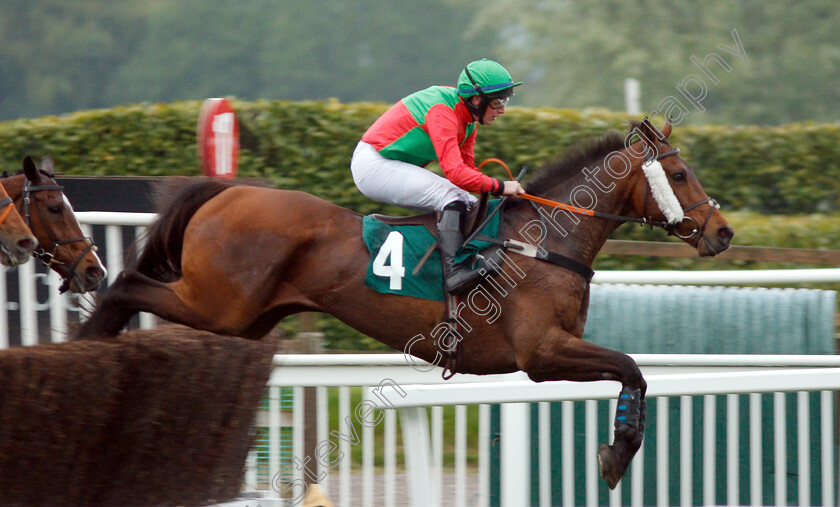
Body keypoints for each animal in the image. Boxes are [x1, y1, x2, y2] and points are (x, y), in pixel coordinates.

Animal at [79, 118, 736, 488]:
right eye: (679, 174)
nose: (724, 232)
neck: (544, 238)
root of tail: (228, 190)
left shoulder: (557, 351)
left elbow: (634, 374)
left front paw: (619, 452)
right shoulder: (542, 353)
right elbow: (631, 367)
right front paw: (618, 453)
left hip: (244, 317)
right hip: (219, 304)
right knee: (125, 285)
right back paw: (87, 346)